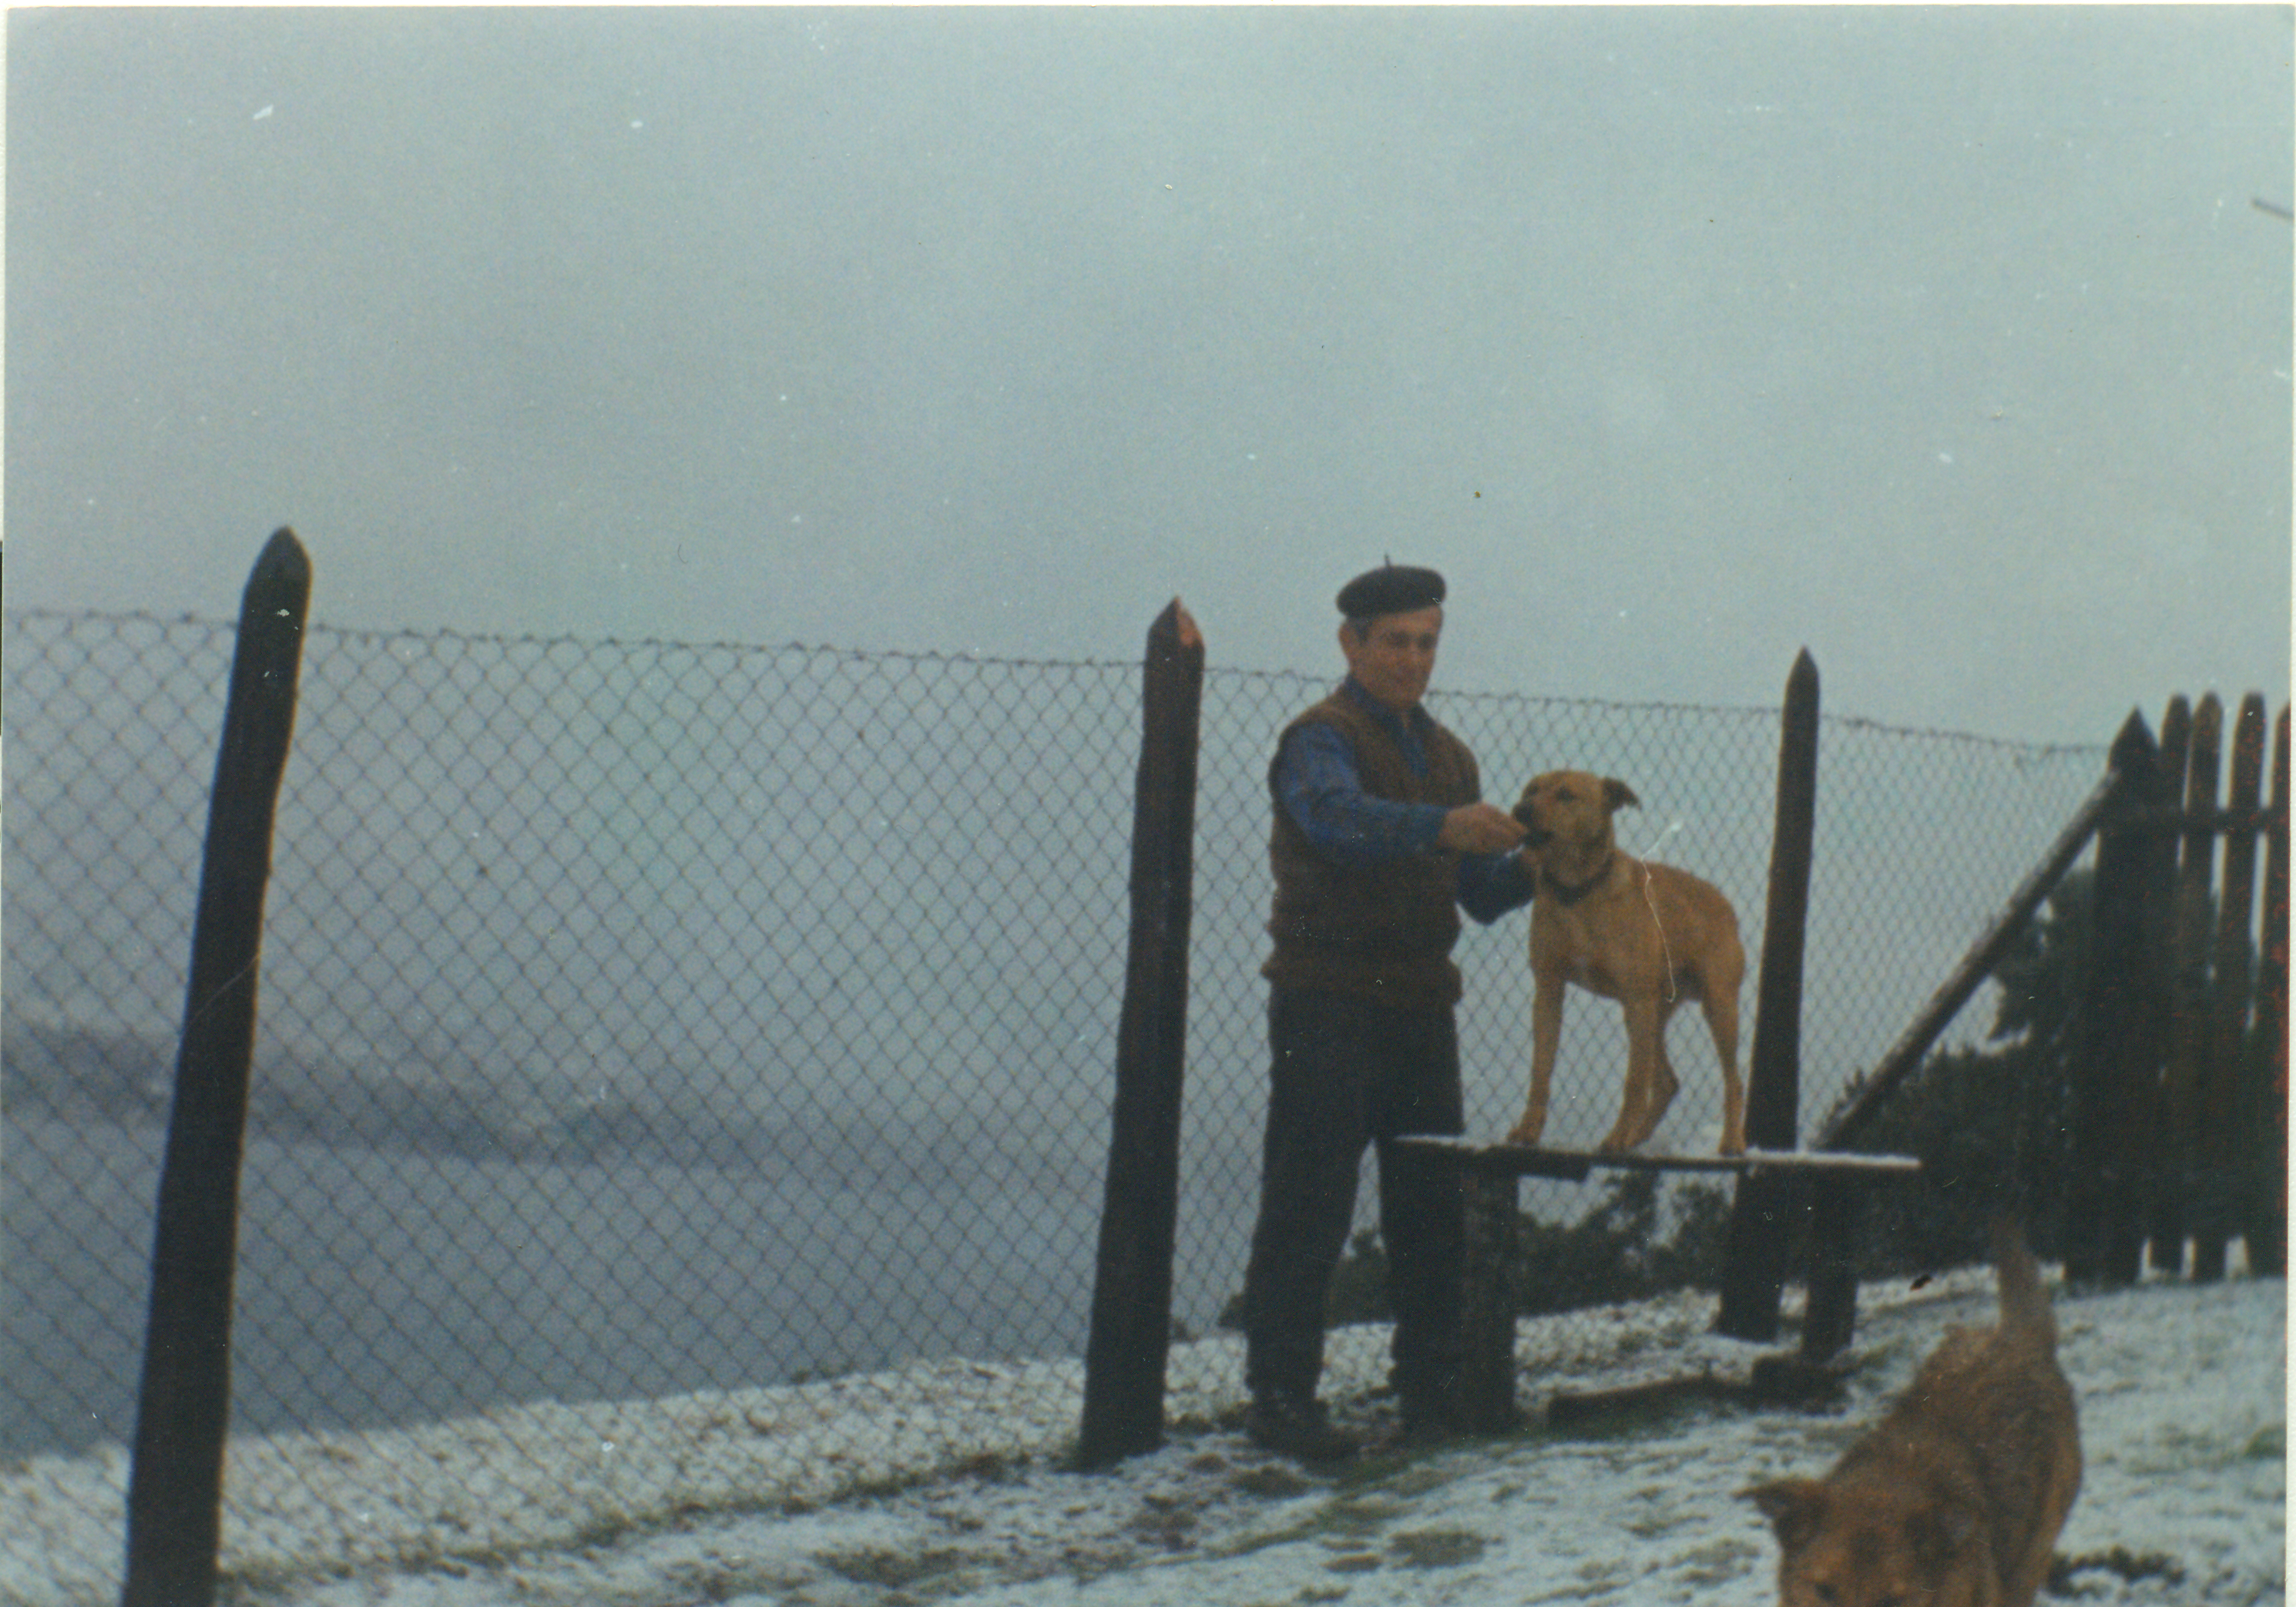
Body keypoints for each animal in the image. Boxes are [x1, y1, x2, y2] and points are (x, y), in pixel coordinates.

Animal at [1496, 771, 1744, 1148]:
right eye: (1531, 790)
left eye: (1566, 795)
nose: (1520, 810)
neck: (1579, 891)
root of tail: (1724, 904)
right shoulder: (1549, 991)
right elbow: (1541, 1070)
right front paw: (1529, 1129)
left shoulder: (1637, 997)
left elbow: (1634, 1081)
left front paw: (1617, 1137)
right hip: (1656, 1011)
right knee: (1667, 1082)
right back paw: (1638, 1136)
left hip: (1716, 1005)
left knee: (1732, 1081)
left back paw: (1730, 1142)